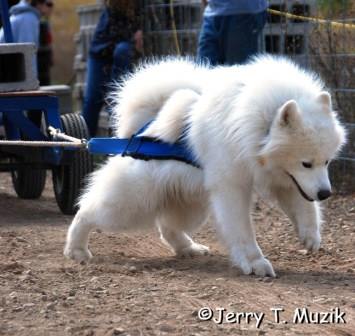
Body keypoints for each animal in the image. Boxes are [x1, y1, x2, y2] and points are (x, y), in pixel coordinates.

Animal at [64, 54, 344, 276]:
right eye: (306, 163)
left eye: (326, 161)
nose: (325, 193)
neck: (257, 130)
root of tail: (140, 129)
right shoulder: (233, 188)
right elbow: (243, 231)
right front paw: (255, 262)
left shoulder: (287, 180)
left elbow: (305, 208)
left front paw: (310, 236)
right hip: (133, 203)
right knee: (87, 211)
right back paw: (76, 249)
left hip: (191, 204)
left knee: (168, 227)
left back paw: (189, 248)